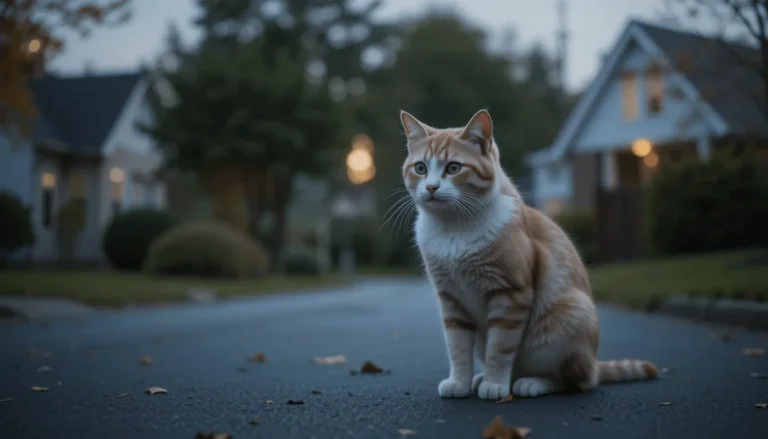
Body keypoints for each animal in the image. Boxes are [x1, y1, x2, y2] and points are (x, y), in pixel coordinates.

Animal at [400, 110, 656, 402]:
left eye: (453, 168)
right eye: (420, 168)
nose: (431, 187)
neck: (453, 230)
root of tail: (594, 362)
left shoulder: (510, 293)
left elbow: (500, 349)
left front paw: (495, 385)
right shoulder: (451, 298)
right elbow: (457, 348)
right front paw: (460, 383)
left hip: (570, 318)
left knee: (576, 380)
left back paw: (530, 383)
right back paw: (481, 379)